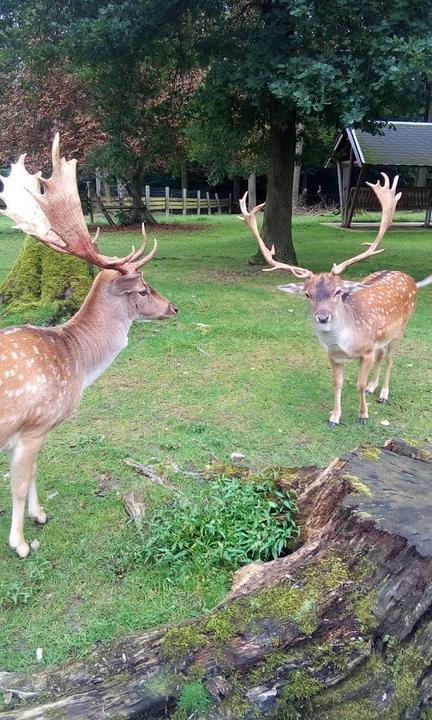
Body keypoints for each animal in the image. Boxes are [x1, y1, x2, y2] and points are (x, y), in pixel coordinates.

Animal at [0, 138, 177, 560]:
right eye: (142, 290)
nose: (174, 307)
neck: (74, 360)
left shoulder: (31, 432)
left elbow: (35, 472)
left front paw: (40, 515)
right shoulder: (32, 424)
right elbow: (18, 482)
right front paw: (20, 542)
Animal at [240, 175, 418, 428]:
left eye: (339, 291)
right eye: (307, 294)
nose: (322, 317)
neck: (345, 343)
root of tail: (408, 277)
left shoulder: (366, 350)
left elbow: (358, 384)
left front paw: (363, 415)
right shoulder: (334, 356)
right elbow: (337, 384)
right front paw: (334, 417)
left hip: (402, 327)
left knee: (391, 357)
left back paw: (383, 393)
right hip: (384, 336)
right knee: (382, 354)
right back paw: (374, 387)